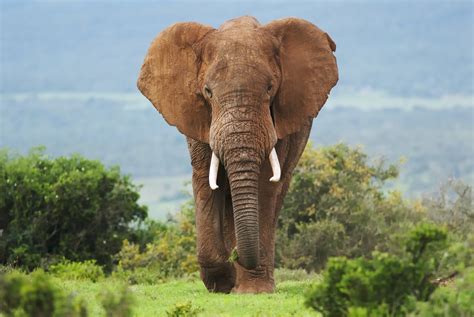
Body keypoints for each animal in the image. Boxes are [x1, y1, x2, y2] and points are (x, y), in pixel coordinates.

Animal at [137, 14, 336, 292]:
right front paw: (222, 282)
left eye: (270, 88)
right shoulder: (199, 117)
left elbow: (264, 184)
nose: (236, 257)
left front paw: (252, 289)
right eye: (208, 92)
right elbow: (206, 179)